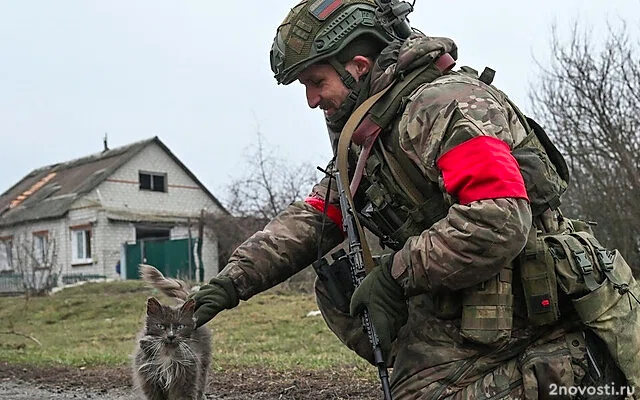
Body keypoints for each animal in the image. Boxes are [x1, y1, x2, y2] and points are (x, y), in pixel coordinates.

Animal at [132, 264, 212, 398]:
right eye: (160, 326)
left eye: (180, 327)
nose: (171, 336)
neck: (167, 353)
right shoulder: (150, 381)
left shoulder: (186, 379)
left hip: (203, 365)